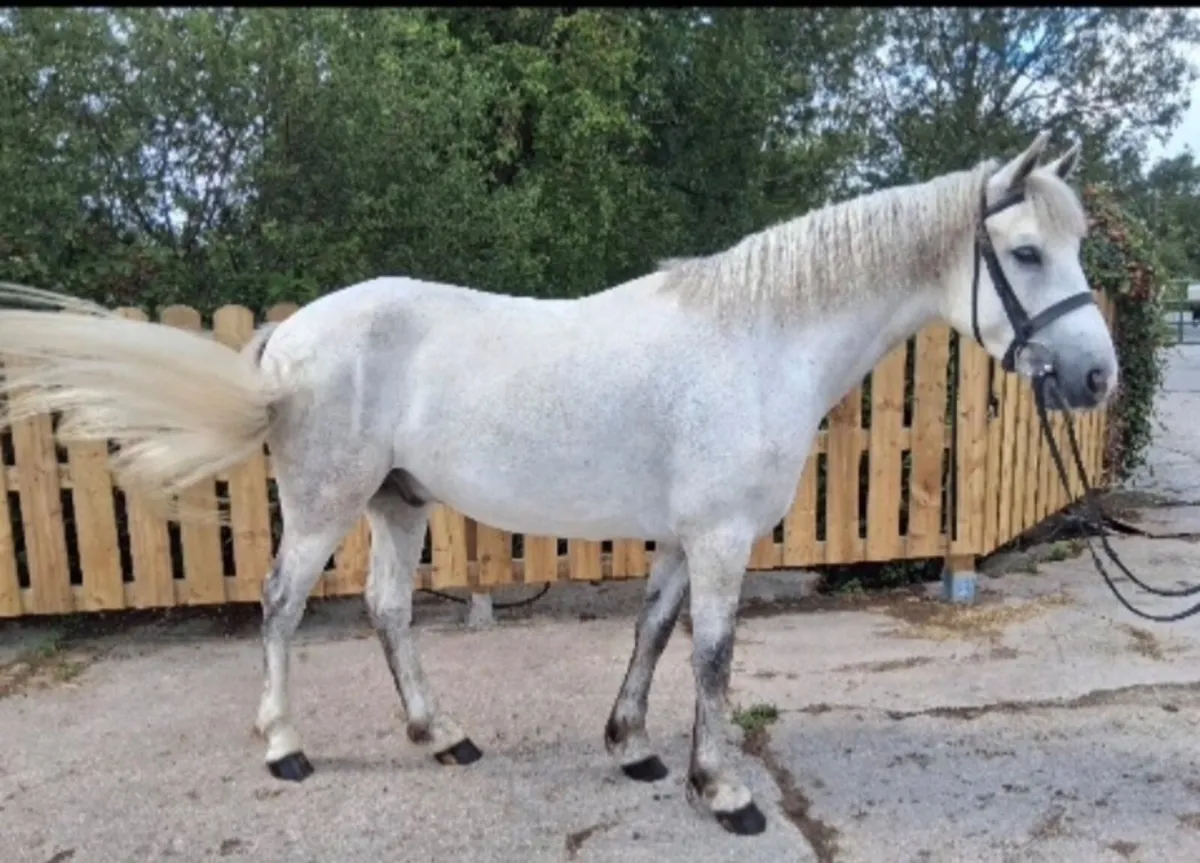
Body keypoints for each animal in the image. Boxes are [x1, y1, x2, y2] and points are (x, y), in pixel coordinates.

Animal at [0, 131, 1116, 837]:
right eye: (1025, 251)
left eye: (1075, 244)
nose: (1097, 376)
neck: (758, 341)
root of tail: (292, 331)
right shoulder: (721, 537)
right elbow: (713, 656)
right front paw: (725, 792)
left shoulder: (683, 536)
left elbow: (654, 635)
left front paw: (633, 749)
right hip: (323, 505)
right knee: (280, 605)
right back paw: (284, 747)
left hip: (397, 503)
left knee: (388, 609)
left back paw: (442, 735)